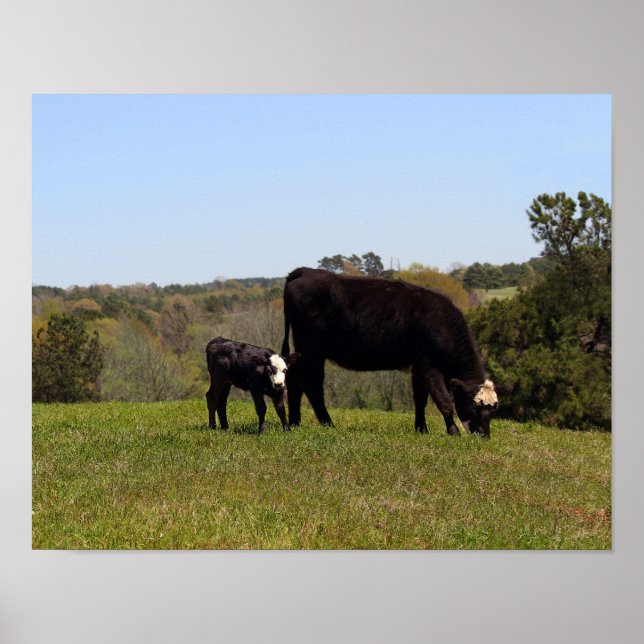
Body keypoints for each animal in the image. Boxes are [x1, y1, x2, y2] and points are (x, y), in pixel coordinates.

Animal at [281, 267, 498, 437]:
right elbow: (443, 400)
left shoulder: (417, 366)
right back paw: (327, 424)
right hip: (312, 348)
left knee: (295, 379)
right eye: (475, 406)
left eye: (493, 409)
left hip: (305, 349)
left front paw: (421, 429)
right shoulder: (427, 366)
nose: (485, 436)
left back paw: (294, 423)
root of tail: (304, 271)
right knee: (312, 384)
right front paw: (453, 432)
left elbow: (420, 399)